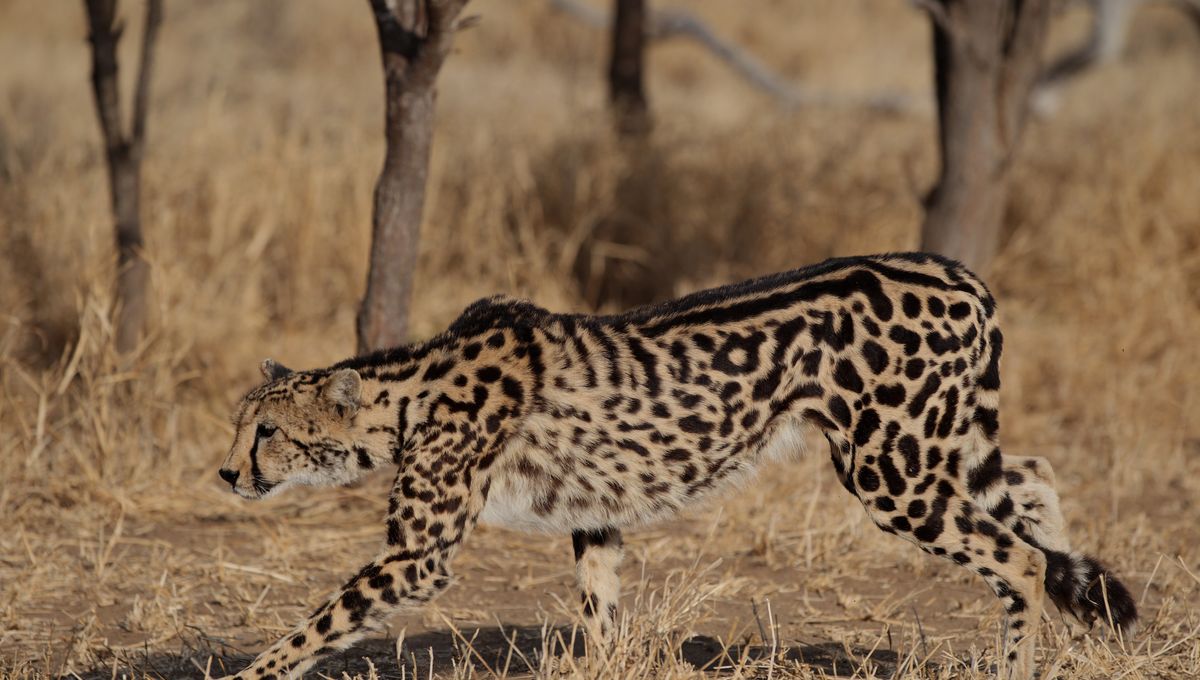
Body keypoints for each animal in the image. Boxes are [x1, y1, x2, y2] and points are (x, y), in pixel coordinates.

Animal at [216, 252, 1136, 680]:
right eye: (240, 428)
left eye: (266, 433)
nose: (227, 476)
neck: (406, 389)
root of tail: (954, 269)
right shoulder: (594, 517)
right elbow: (598, 611)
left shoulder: (418, 556)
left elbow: (315, 625)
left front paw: (251, 672)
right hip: (932, 451)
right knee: (1034, 478)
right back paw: (1080, 598)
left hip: (891, 470)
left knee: (1015, 555)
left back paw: (1020, 657)